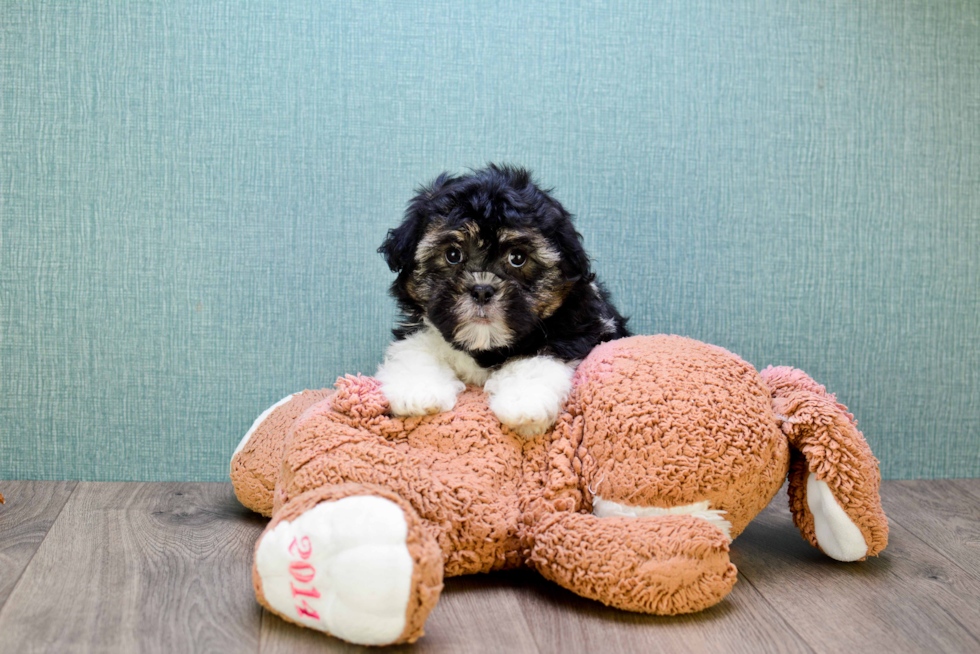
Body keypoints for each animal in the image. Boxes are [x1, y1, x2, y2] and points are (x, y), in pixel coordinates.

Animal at [376, 167, 628, 438]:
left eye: (517, 257)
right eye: (453, 254)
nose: (482, 290)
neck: (484, 345)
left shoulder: (577, 330)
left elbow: (537, 358)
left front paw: (524, 404)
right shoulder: (421, 327)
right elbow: (417, 348)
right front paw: (418, 392)